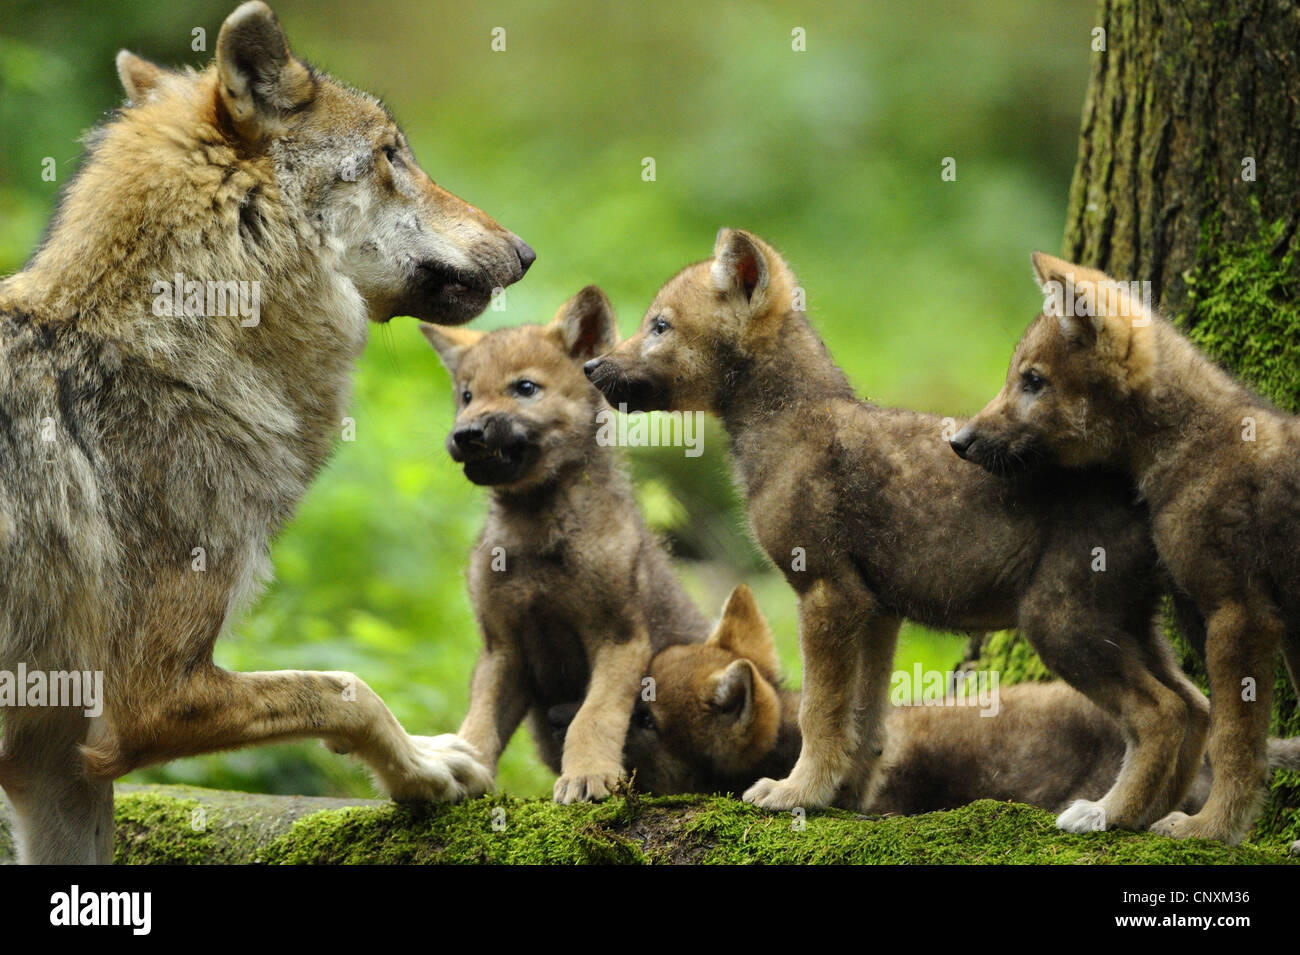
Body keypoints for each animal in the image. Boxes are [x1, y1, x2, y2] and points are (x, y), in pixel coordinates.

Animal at [0, 2, 533, 863]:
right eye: (391, 154)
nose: (525, 252)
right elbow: (347, 688)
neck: (168, 351)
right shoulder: (148, 698)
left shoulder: (53, 758)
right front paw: (425, 766)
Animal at [420, 287, 709, 802]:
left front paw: (588, 775)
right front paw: (459, 768)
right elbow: (479, 725)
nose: (465, 434)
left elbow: (592, 717)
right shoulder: (501, 648)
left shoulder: (620, 638)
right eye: (466, 396)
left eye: (524, 388)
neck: (535, 533)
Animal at [584, 228, 1209, 836]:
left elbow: (819, 712)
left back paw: (1110, 815)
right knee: (1198, 704)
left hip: (1059, 621)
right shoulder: (878, 609)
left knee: (1162, 713)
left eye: (659, 325)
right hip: (1126, 623)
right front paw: (847, 801)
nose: (591, 368)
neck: (785, 424)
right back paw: (1163, 818)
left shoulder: (826, 592)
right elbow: (866, 723)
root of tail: (1141, 486)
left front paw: (794, 794)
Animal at [953, 251, 1300, 844]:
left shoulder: (1239, 613)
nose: (958, 441)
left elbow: (1234, 741)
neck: (1189, 443)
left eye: (1033, 381)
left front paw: (1213, 829)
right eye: (1017, 377)